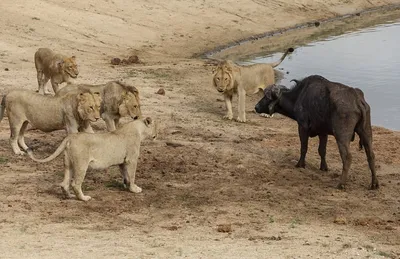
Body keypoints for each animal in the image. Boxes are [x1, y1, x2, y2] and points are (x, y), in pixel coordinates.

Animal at [25, 117, 158, 202]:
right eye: (155, 126)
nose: (157, 134)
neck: (138, 130)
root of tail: (70, 137)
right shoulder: (131, 159)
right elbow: (132, 175)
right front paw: (135, 189)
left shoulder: (122, 162)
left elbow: (126, 175)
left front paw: (127, 186)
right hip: (81, 164)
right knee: (75, 183)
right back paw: (84, 198)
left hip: (68, 163)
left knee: (64, 183)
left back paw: (70, 196)